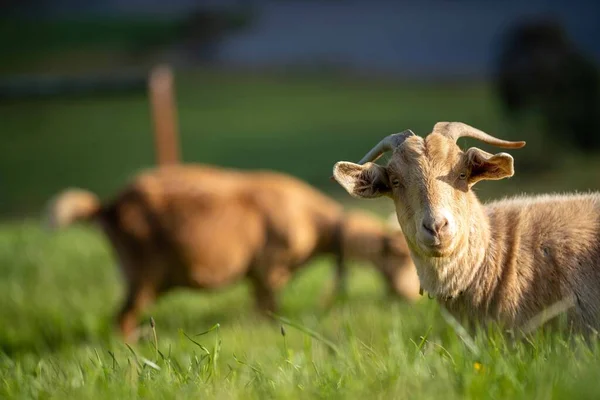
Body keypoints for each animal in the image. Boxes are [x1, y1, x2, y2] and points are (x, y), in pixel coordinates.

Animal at [47, 162, 420, 340]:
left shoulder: (258, 274)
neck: (312, 220)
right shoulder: (270, 269)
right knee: (121, 318)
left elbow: (260, 307)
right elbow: (269, 308)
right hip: (143, 275)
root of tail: (109, 206)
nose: (411, 299)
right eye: (403, 255)